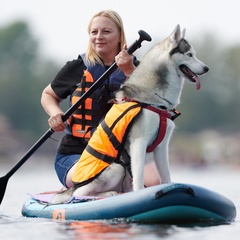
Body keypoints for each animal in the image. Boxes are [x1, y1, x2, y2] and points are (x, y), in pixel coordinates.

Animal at [50, 24, 208, 204]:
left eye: (194, 54)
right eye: (189, 55)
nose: (206, 68)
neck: (153, 98)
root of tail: (72, 186)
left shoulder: (162, 146)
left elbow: (165, 176)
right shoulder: (139, 142)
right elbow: (139, 178)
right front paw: (140, 194)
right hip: (115, 168)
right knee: (79, 193)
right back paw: (106, 194)